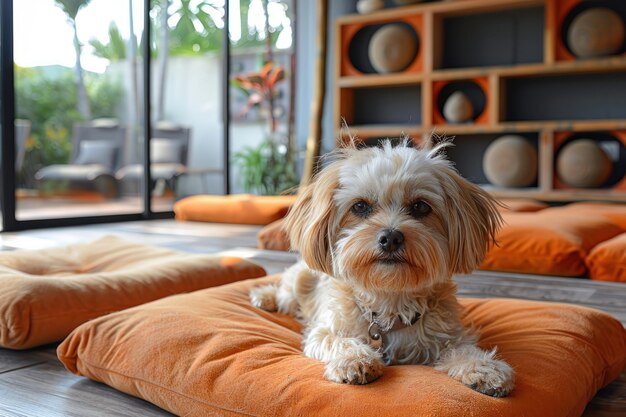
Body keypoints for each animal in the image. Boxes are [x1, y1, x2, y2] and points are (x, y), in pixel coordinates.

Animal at [249, 138, 512, 394]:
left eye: (420, 206)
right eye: (360, 206)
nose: (391, 237)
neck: (389, 299)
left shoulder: (448, 334)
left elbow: (463, 348)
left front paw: (484, 367)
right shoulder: (324, 330)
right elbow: (339, 340)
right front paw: (354, 360)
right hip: (299, 281)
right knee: (283, 292)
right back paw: (265, 297)